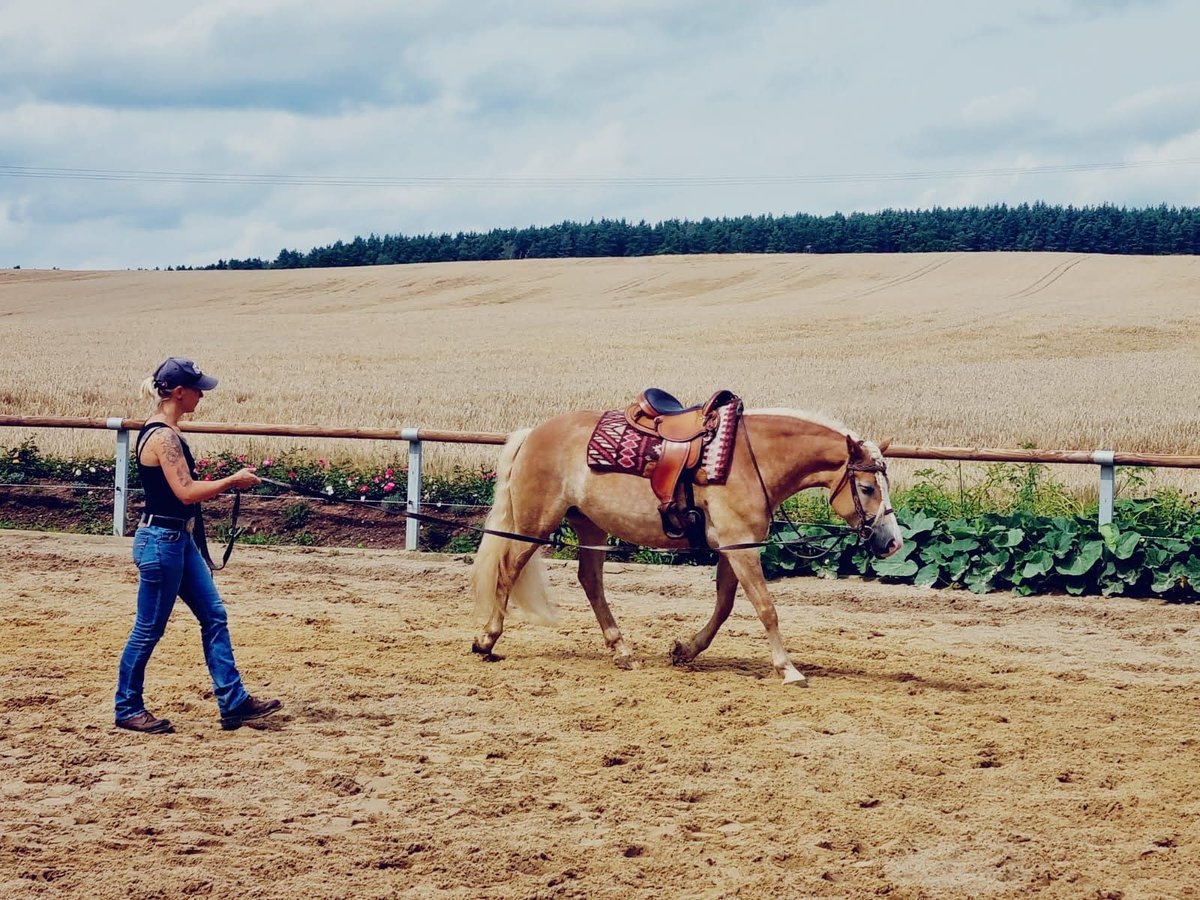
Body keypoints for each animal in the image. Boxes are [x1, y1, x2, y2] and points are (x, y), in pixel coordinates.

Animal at [468, 405, 902, 686]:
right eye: (867, 487)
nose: (893, 542)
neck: (750, 460)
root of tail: (533, 434)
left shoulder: (733, 548)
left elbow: (725, 606)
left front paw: (685, 650)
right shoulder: (741, 547)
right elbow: (765, 608)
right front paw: (788, 669)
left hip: (589, 525)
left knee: (590, 580)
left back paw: (622, 651)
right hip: (535, 525)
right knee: (508, 570)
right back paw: (487, 641)